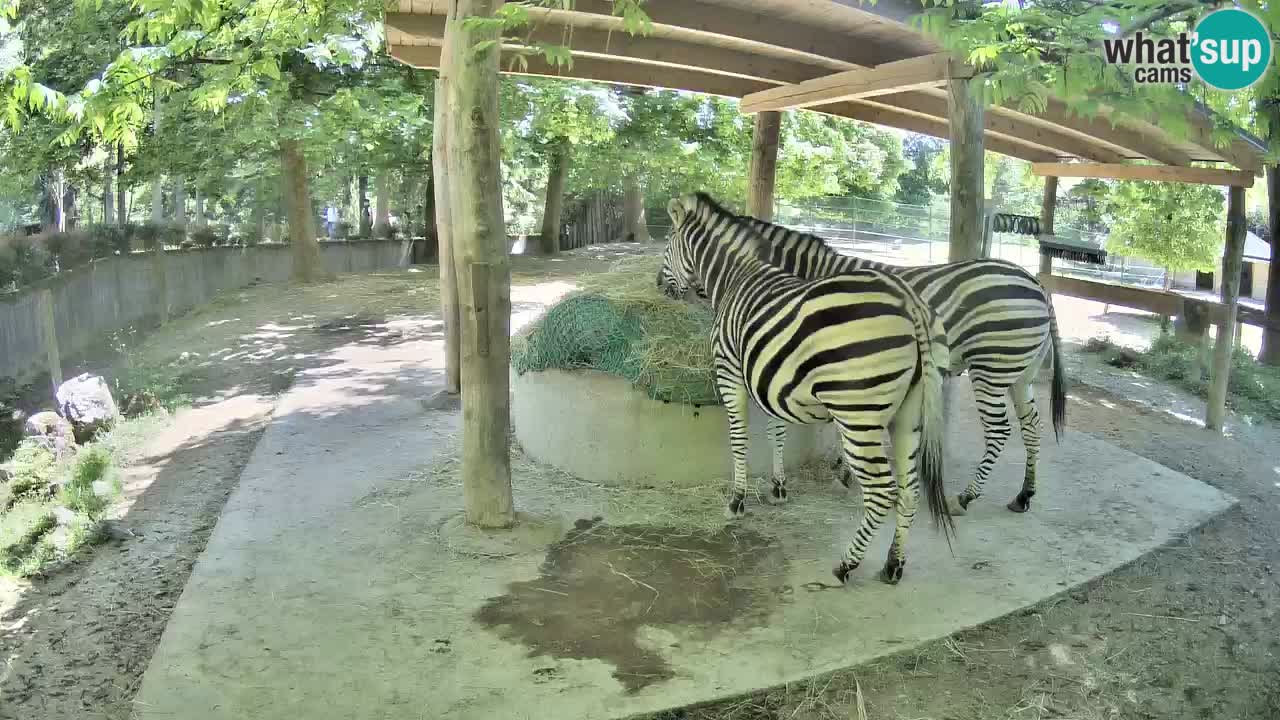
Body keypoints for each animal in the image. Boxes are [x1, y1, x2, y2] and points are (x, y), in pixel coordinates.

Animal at [658, 192, 953, 585]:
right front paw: (778, 487)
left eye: (666, 244)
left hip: (858, 414)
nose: (659, 286)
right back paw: (893, 565)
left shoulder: (730, 370)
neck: (736, 277)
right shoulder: (771, 380)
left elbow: (739, 437)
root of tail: (911, 304)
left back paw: (845, 565)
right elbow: (777, 432)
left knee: (882, 492)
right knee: (910, 490)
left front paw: (737, 500)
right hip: (909, 415)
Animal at [733, 214, 1066, 516]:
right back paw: (1023, 495)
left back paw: (964, 498)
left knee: (999, 431)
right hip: (1021, 374)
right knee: (1032, 426)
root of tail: (1036, 283)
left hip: (991, 369)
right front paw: (844, 470)